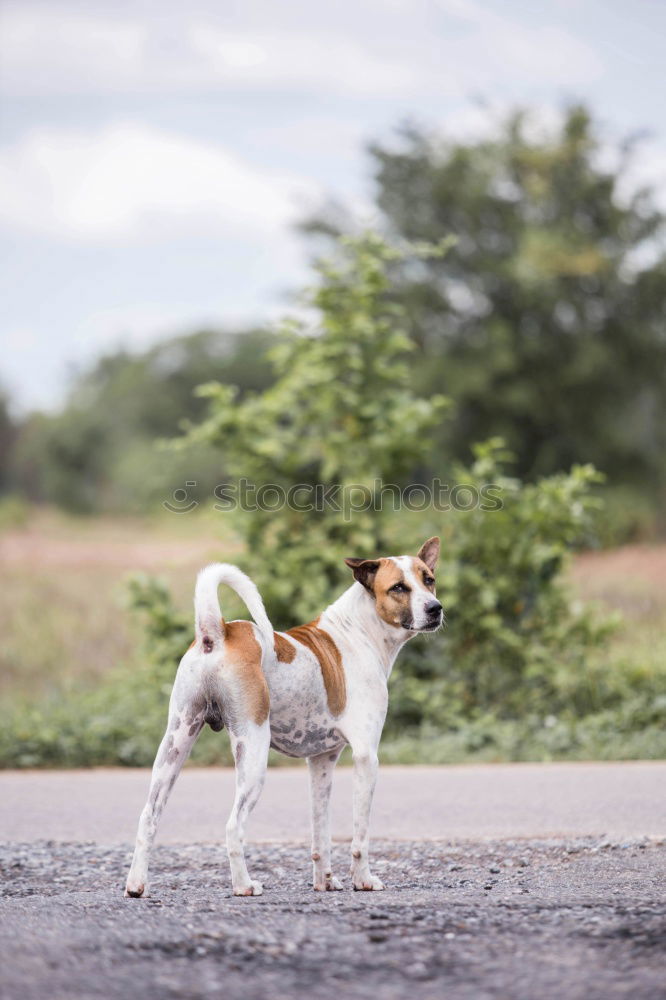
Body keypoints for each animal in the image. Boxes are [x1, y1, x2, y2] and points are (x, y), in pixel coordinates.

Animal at [127, 540, 444, 900]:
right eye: (398, 588)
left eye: (429, 580)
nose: (435, 608)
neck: (359, 632)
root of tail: (218, 632)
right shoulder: (366, 758)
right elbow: (359, 837)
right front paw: (363, 880)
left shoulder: (321, 762)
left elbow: (321, 833)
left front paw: (325, 881)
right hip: (252, 754)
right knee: (233, 826)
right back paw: (244, 885)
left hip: (174, 745)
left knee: (149, 816)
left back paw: (136, 885)